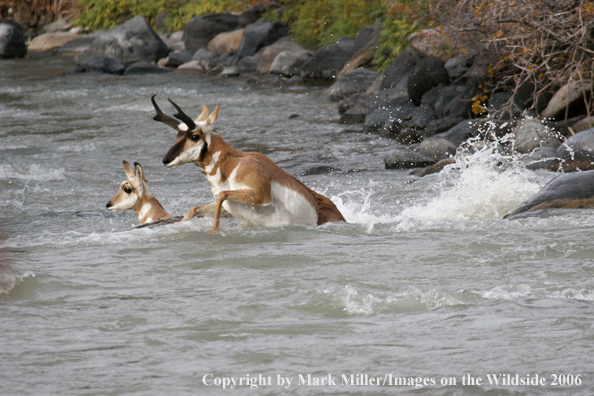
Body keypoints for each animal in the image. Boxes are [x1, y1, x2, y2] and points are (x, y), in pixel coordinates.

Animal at [149, 94, 346, 232]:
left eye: (194, 136)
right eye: (178, 135)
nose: (165, 160)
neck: (231, 167)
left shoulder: (260, 195)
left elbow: (221, 196)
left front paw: (214, 230)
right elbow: (194, 209)